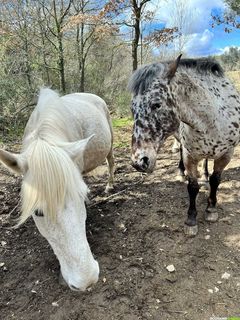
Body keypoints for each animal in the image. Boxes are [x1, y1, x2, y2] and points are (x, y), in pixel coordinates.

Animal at [129, 54, 240, 235]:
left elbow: (216, 180)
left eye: (156, 104)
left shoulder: (226, 154)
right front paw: (191, 220)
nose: (139, 162)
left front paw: (211, 209)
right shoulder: (190, 156)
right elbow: (193, 186)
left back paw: (205, 176)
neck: (213, 120)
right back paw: (181, 173)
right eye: (133, 110)